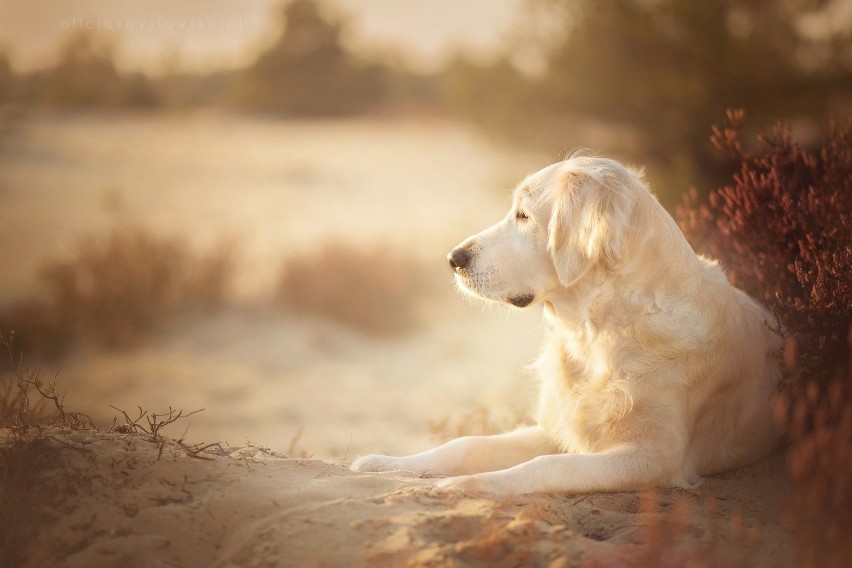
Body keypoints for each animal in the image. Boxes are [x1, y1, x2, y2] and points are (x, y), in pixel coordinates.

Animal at [350, 153, 784, 494]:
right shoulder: (555, 429)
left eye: (524, 216)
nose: (453, 259)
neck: (596, 333)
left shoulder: (653, 458)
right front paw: (385, 463)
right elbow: (468, 443)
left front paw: (471, 485)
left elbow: (548, 465)